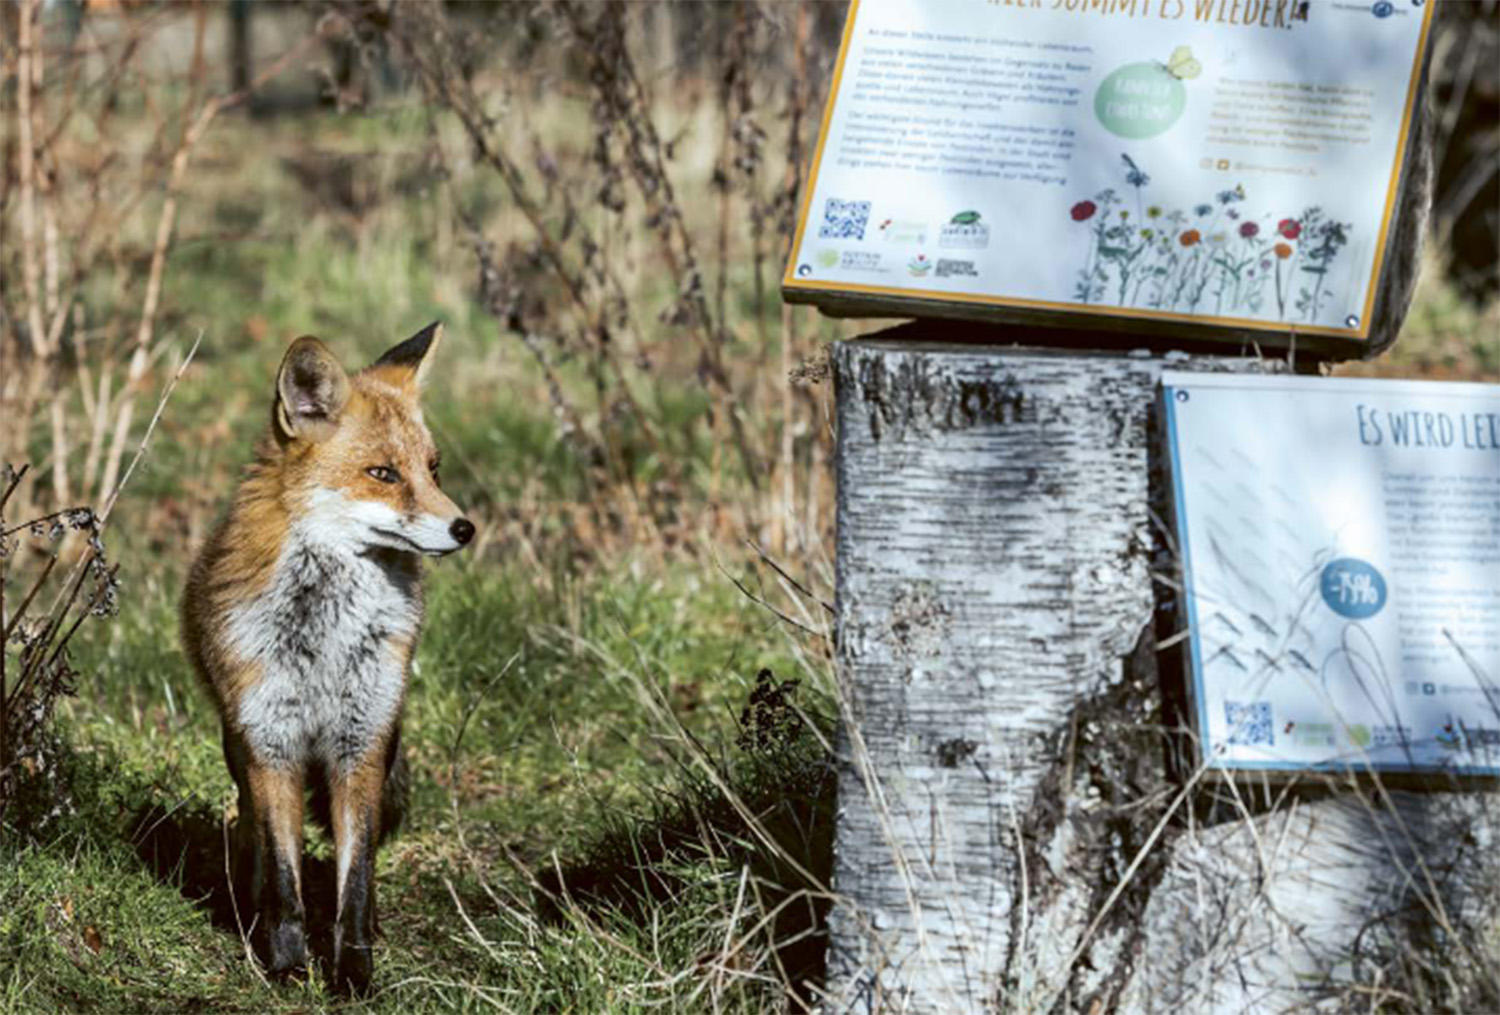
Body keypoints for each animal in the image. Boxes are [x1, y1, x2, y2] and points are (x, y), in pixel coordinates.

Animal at [181, 322, 474, 995]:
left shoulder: (360, 742)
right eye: (382, 473)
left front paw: (354, 971)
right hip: (237, 744)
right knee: (251, 832)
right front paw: (288, 963)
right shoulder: (271, 742)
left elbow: (356, 881)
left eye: (433, 468)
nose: (465, 528)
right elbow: (286, 880)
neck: (325, 644)